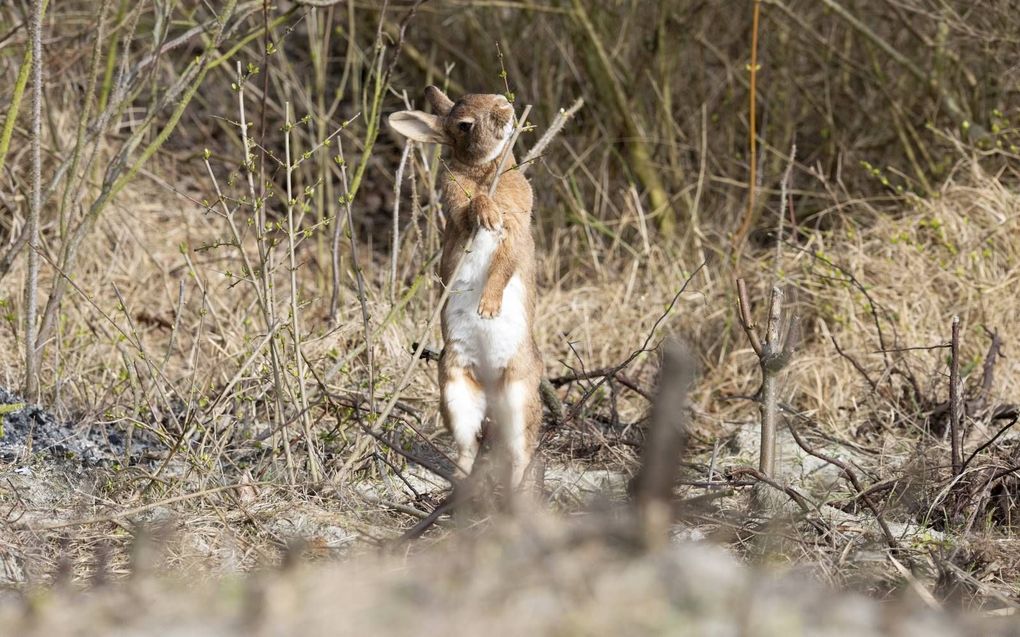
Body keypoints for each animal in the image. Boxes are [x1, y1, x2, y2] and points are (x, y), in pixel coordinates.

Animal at [385, 85, 542, 487]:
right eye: (465, 125)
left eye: (493, 94)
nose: (506, 108)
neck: (484, 169)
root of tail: (488, 382)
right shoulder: (457, 206)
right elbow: (469, 208)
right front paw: (485, 212)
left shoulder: (516, 231)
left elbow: (503, 266)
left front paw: (487, 309)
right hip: (455, 392)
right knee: (468, 447)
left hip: (519, 396)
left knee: (519, 453)